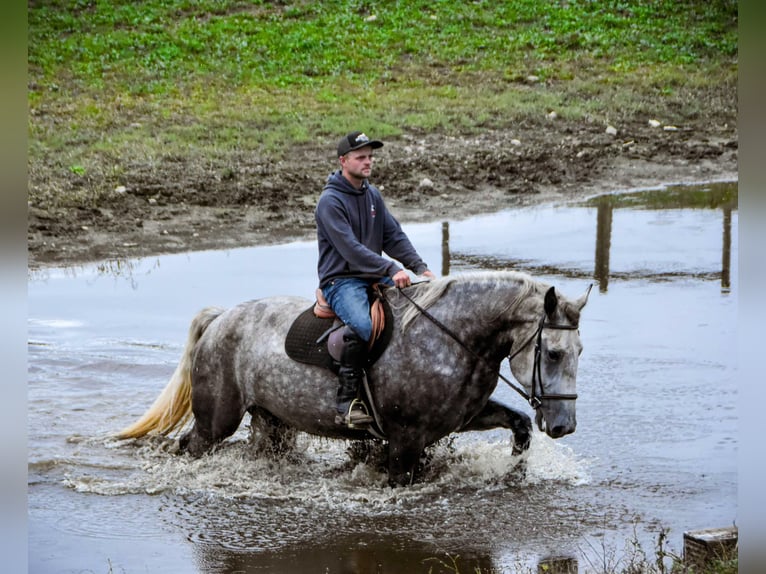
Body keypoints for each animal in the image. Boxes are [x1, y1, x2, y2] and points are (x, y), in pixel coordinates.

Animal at [118, 272, 592, 488]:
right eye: (553, 352)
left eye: (580, 351)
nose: (564, 426)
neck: (450, 336)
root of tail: (221, 319)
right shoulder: (406, 439)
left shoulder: (461, 419)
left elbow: (520, 425)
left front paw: (515, 474)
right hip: (217, 420)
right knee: (189, 445)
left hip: (271, 422)